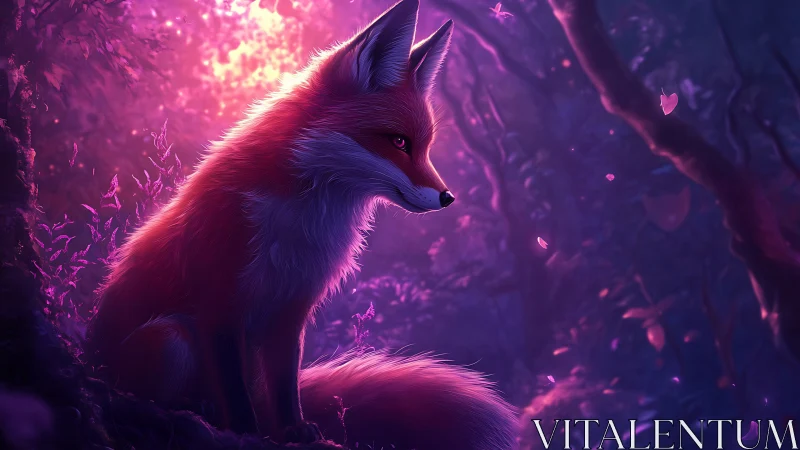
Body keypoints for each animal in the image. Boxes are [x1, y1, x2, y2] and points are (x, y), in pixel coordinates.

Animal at [83, 0, 518, 448]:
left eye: (426, 146)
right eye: (399, 142)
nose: (448, 198)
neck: (301, 225)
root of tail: (88, 359)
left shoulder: (293, 306)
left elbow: (286, 386)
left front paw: (294, 430)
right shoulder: (220, 302)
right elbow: (234, 390)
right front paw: (246, 431)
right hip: (169, 339)